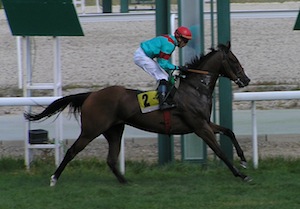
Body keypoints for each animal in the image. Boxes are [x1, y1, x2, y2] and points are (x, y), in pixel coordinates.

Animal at [25, 41, 251, 185]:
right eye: (233, 60)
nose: (246, 79)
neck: (195, 89)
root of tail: (91, 94)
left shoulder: (205, 123)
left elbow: (229, 131)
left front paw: (243, 160)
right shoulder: (199, 127)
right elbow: (220, 152)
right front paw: (241, 175)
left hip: (114, 130)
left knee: (111, 159)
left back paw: (125, 182)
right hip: (91, 130)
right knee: (72, 151)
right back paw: (54, 178)